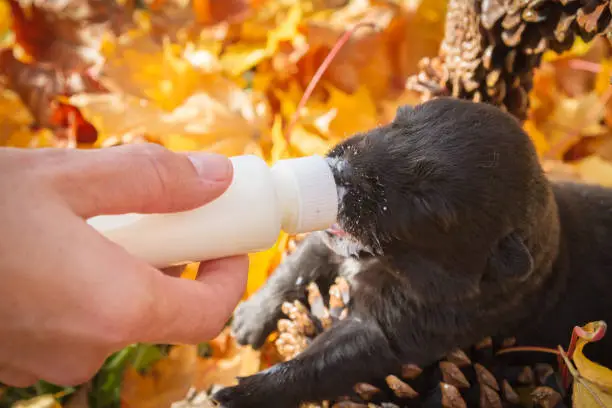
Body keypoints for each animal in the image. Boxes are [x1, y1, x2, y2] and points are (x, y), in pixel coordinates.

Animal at [213, 98, 612, 408]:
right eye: (399, 120)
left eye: (425, 201)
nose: (340, 171)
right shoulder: (332, 244)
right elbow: (300, 262)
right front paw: (250, 316)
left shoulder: (389, 334)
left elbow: (316, 363)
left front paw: (242, 393)